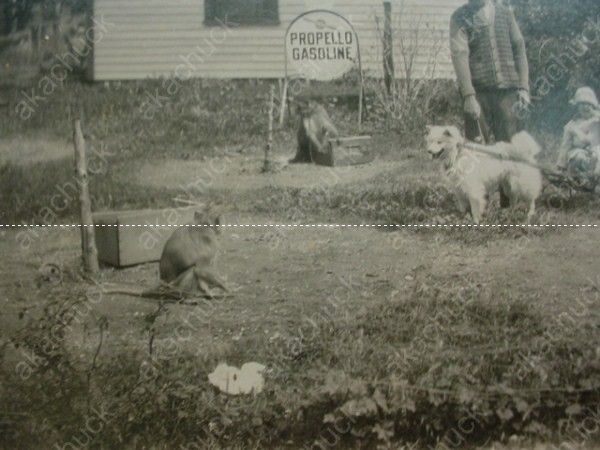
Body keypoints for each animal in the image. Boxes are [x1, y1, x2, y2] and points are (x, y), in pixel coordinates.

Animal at [98, 212, 230, 302]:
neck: (204, 225)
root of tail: (163, 284)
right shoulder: (210, 241)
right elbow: (201, 268)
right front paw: (225, 287)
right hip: (175, 286)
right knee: (193, 270)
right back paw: (188, 298)